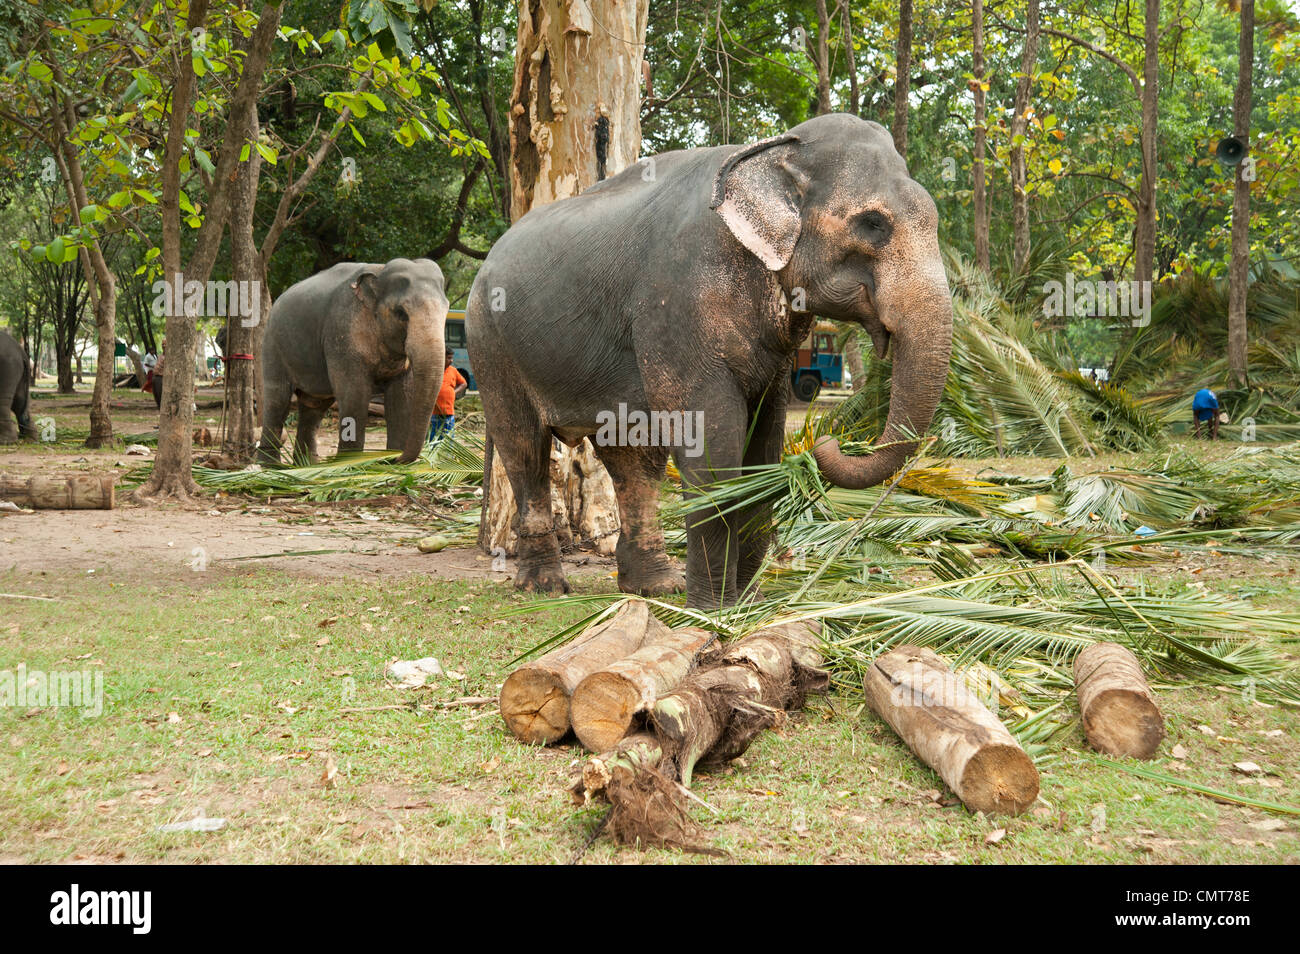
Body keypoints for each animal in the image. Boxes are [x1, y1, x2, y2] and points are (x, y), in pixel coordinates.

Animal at [258, 258, 448, 465]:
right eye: (401, 313)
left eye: (446, 311)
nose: (396, 459)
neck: (380, 271)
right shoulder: (343, 331)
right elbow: (355, 393)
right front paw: (350, 463)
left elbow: (401, 396)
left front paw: (392, 462)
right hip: (272, 346)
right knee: (277, 400)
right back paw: (272, 467)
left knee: (314, 406)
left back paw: (306, 466)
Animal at [466, 113, 953, 608]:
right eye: (873, 224)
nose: (827, 445)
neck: (772, 150)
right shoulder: (677, 303)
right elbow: (712, 442)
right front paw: (714, 610)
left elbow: (764, 440)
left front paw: (748, 602)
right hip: (490, 342)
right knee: (525, 448)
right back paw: (545, 586)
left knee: (633, 457)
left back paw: (655, 586)